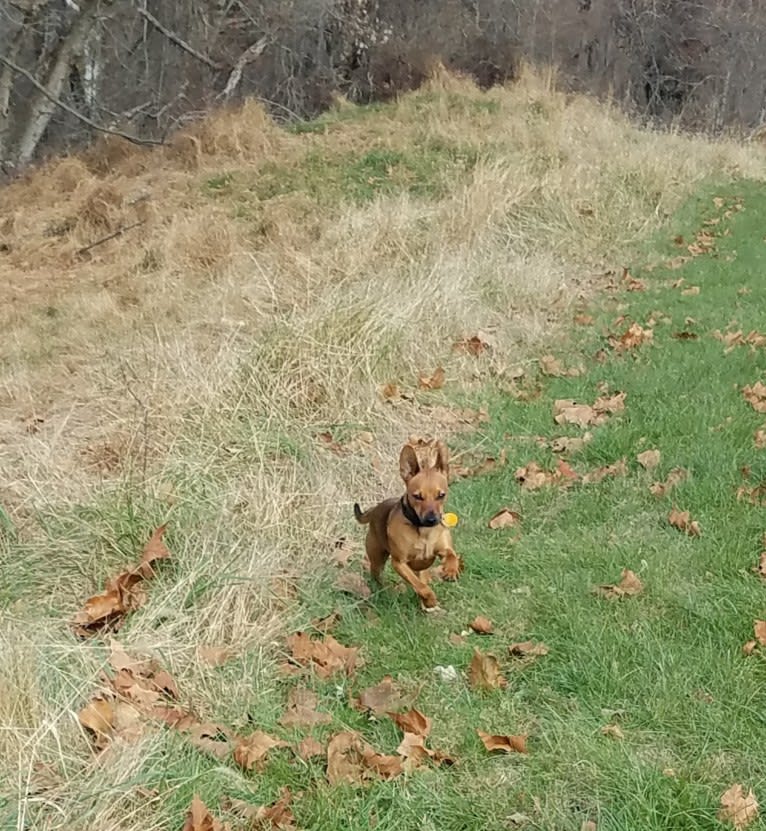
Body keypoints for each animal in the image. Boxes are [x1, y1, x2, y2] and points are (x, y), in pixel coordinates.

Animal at [354, 442, 462, 612]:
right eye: (417, 496)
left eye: (441, 495)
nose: (432, 519)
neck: (423, 531)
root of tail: (375, 509)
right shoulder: (399, 563)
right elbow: (419, 585)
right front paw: (430, 598)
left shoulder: (443, 548)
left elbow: (451, 554)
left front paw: (451, 570)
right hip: (377, 558)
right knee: (377, 575)